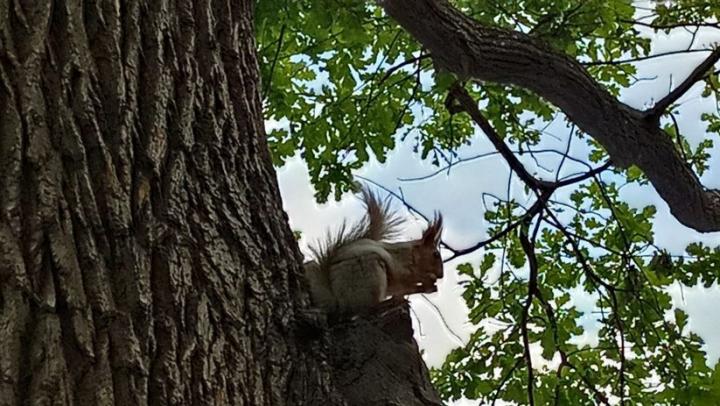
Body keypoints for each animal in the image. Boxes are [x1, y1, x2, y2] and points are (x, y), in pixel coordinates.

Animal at [300, 187, 442, 314]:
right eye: (435, 254)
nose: (441, 275)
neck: (411, 255)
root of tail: (340, 304)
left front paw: (429, 287)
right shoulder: (400, 263)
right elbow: (403, 276)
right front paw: (428, 278)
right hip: (368, 272)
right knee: (367, 306)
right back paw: (386, 302)